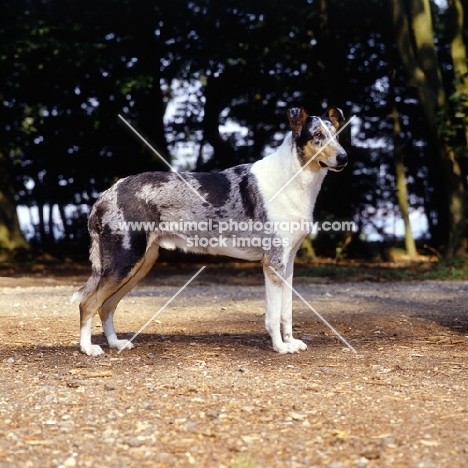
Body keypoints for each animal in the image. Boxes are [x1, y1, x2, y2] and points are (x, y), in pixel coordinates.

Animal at [70, 107, 348, 354]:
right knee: (88, 303)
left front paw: (290, 342)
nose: (344, 158)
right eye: (317, 135)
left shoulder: (287, 263)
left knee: (106, 306)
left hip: (140, 264)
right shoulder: (273, 262)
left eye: (337, 134)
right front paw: (280, 347)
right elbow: (272, 314)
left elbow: (286, 312)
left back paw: (115, 343)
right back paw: (88, 349)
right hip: (124, 261)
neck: (294, 178)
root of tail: (106, 194)